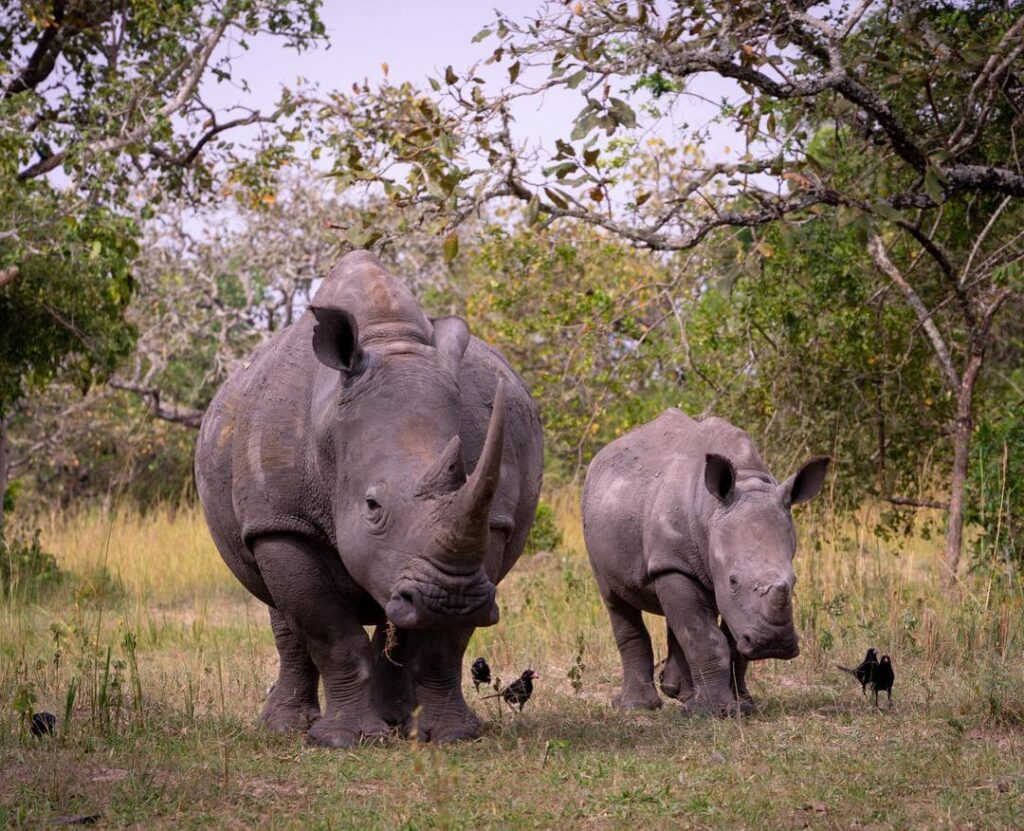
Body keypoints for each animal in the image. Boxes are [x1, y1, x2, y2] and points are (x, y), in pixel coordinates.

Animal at [195, 251, 543, 746]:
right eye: (372, 507)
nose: (451, 598)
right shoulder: (282, 521)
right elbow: (331, 634)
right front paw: (343, 740)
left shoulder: (490, 524)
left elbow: (443, 643)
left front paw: (453, 736)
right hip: (261, 507)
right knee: (283, 611)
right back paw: (287, 727)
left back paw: (397, 721)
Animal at [582, 409, 828, 714]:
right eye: (733, 580)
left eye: (794, 581)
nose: (774, 644)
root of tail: (600, 459)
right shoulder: (674, 562)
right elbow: (704, 636)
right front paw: (714, 711)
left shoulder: (704, 574)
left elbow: (729, 639)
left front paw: (743, 706)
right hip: (598, 521)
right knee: (615, 597)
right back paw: (637, 706)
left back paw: (683, 695)